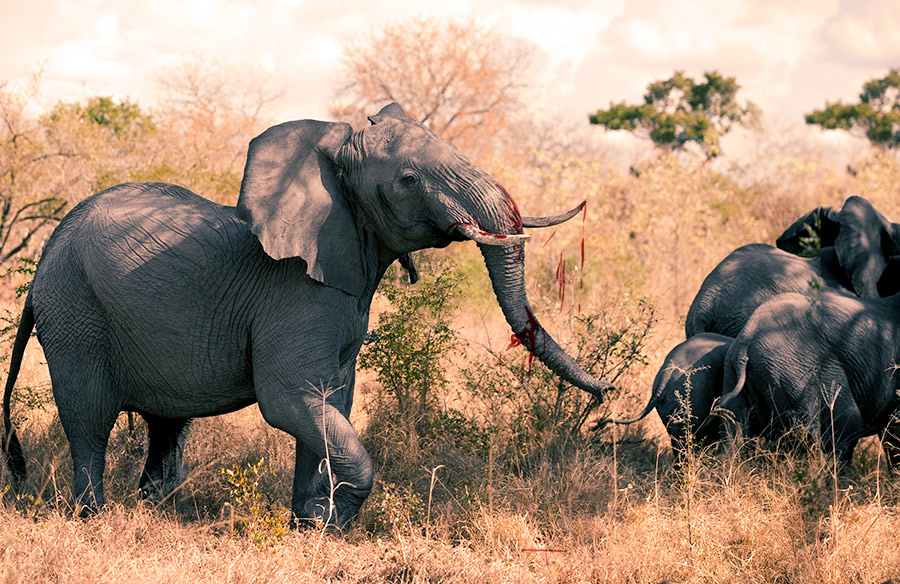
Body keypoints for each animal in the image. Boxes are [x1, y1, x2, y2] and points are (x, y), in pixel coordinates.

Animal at [0, 105, 612, 528]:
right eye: (409, 179)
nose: (606, 396)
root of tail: (45, 258)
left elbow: (331, 401)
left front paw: (306, 523)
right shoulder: (295, 295)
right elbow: (292, 399)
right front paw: (329, 523)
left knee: (166, 425)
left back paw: (152, 510)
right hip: (74, 313)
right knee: (89, 418)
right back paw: (93, 518)